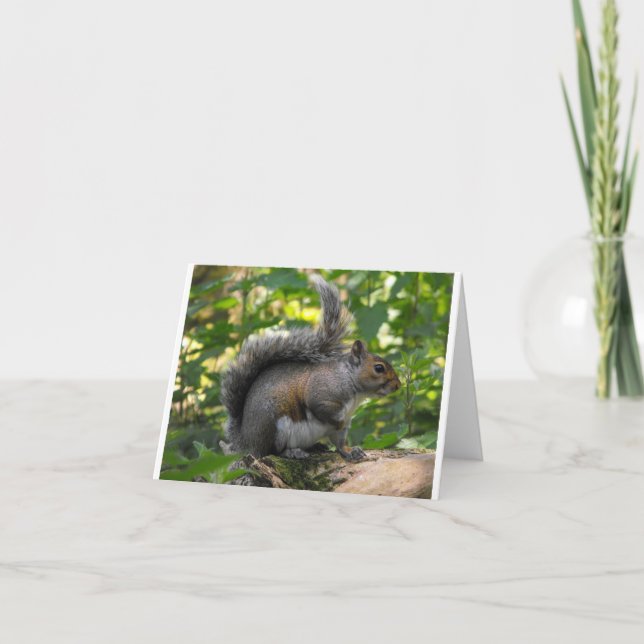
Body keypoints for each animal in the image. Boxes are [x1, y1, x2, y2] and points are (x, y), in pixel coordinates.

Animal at [219, 275, 401, 461]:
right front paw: (338, 423)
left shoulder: (344, 424)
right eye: (379, 368)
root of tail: (246, 442)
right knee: (272, 451)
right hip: (274, 427)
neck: (349, 380)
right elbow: (322, 409)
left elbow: (340, 442)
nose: (398, 385)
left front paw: (351, 451)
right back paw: (292, 452)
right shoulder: (322, 394)